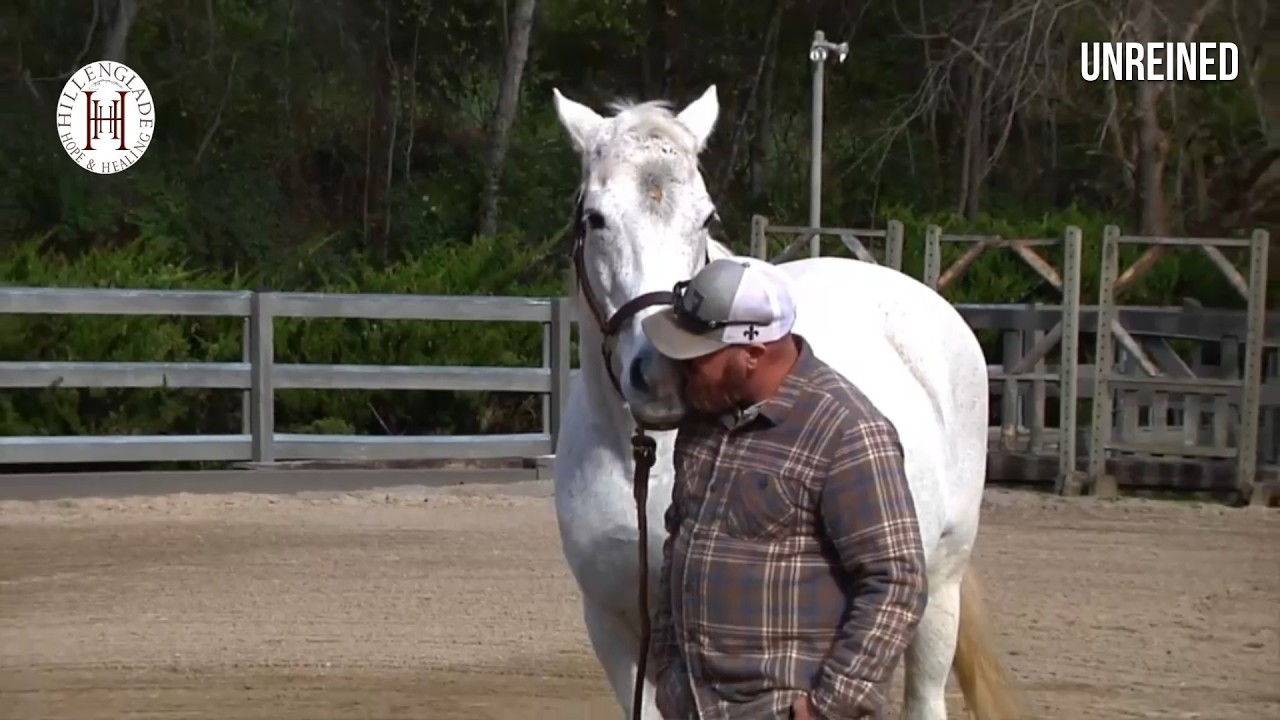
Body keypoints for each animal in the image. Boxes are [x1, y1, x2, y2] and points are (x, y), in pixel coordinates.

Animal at [549, 83, 1024, 720]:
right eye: (595, 218)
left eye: (706, 217)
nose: (662, 372)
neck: (647, 462)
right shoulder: (616, 627)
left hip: (939, 587)